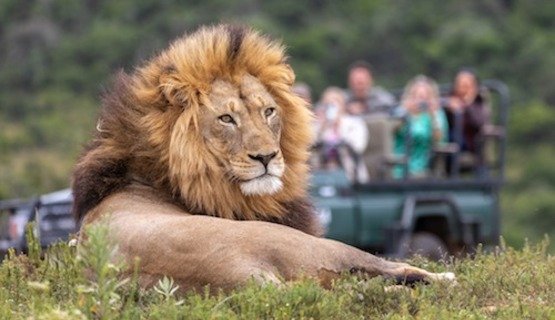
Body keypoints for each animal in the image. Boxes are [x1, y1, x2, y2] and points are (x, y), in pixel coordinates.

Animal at [73, 23, 456, 292]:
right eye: (227, 119)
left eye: (269, 111)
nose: (267, 156)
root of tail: (245, 280)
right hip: (317, 248)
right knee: (394, 274)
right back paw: (446, 278)